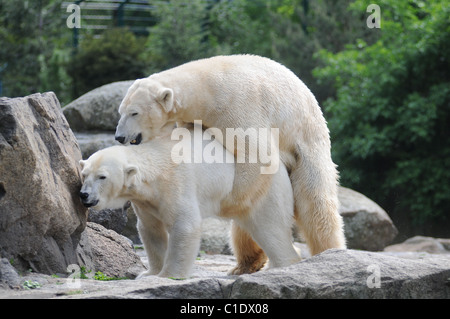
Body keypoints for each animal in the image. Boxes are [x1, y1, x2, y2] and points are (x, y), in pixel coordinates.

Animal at [79, 125, 300, 278]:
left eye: (102, 177)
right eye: (84, 174)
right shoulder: (145, 202)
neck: (154, 172)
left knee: (270, 228)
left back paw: (281, 265)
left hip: (260, 190)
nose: (84, 195)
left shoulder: (176, 184)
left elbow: (184, 225)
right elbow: (151, 230)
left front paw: (168, 275)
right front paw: (150, 273)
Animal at [115, 54, 344, 255]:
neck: (205, 89)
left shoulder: (237, 106)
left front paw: (229, 201)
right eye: (120, 111)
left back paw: (328, 249)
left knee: (315, 202)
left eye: (134, 113)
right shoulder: (195, 118)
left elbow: (256, 152)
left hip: (306, 144)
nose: (119, 136)